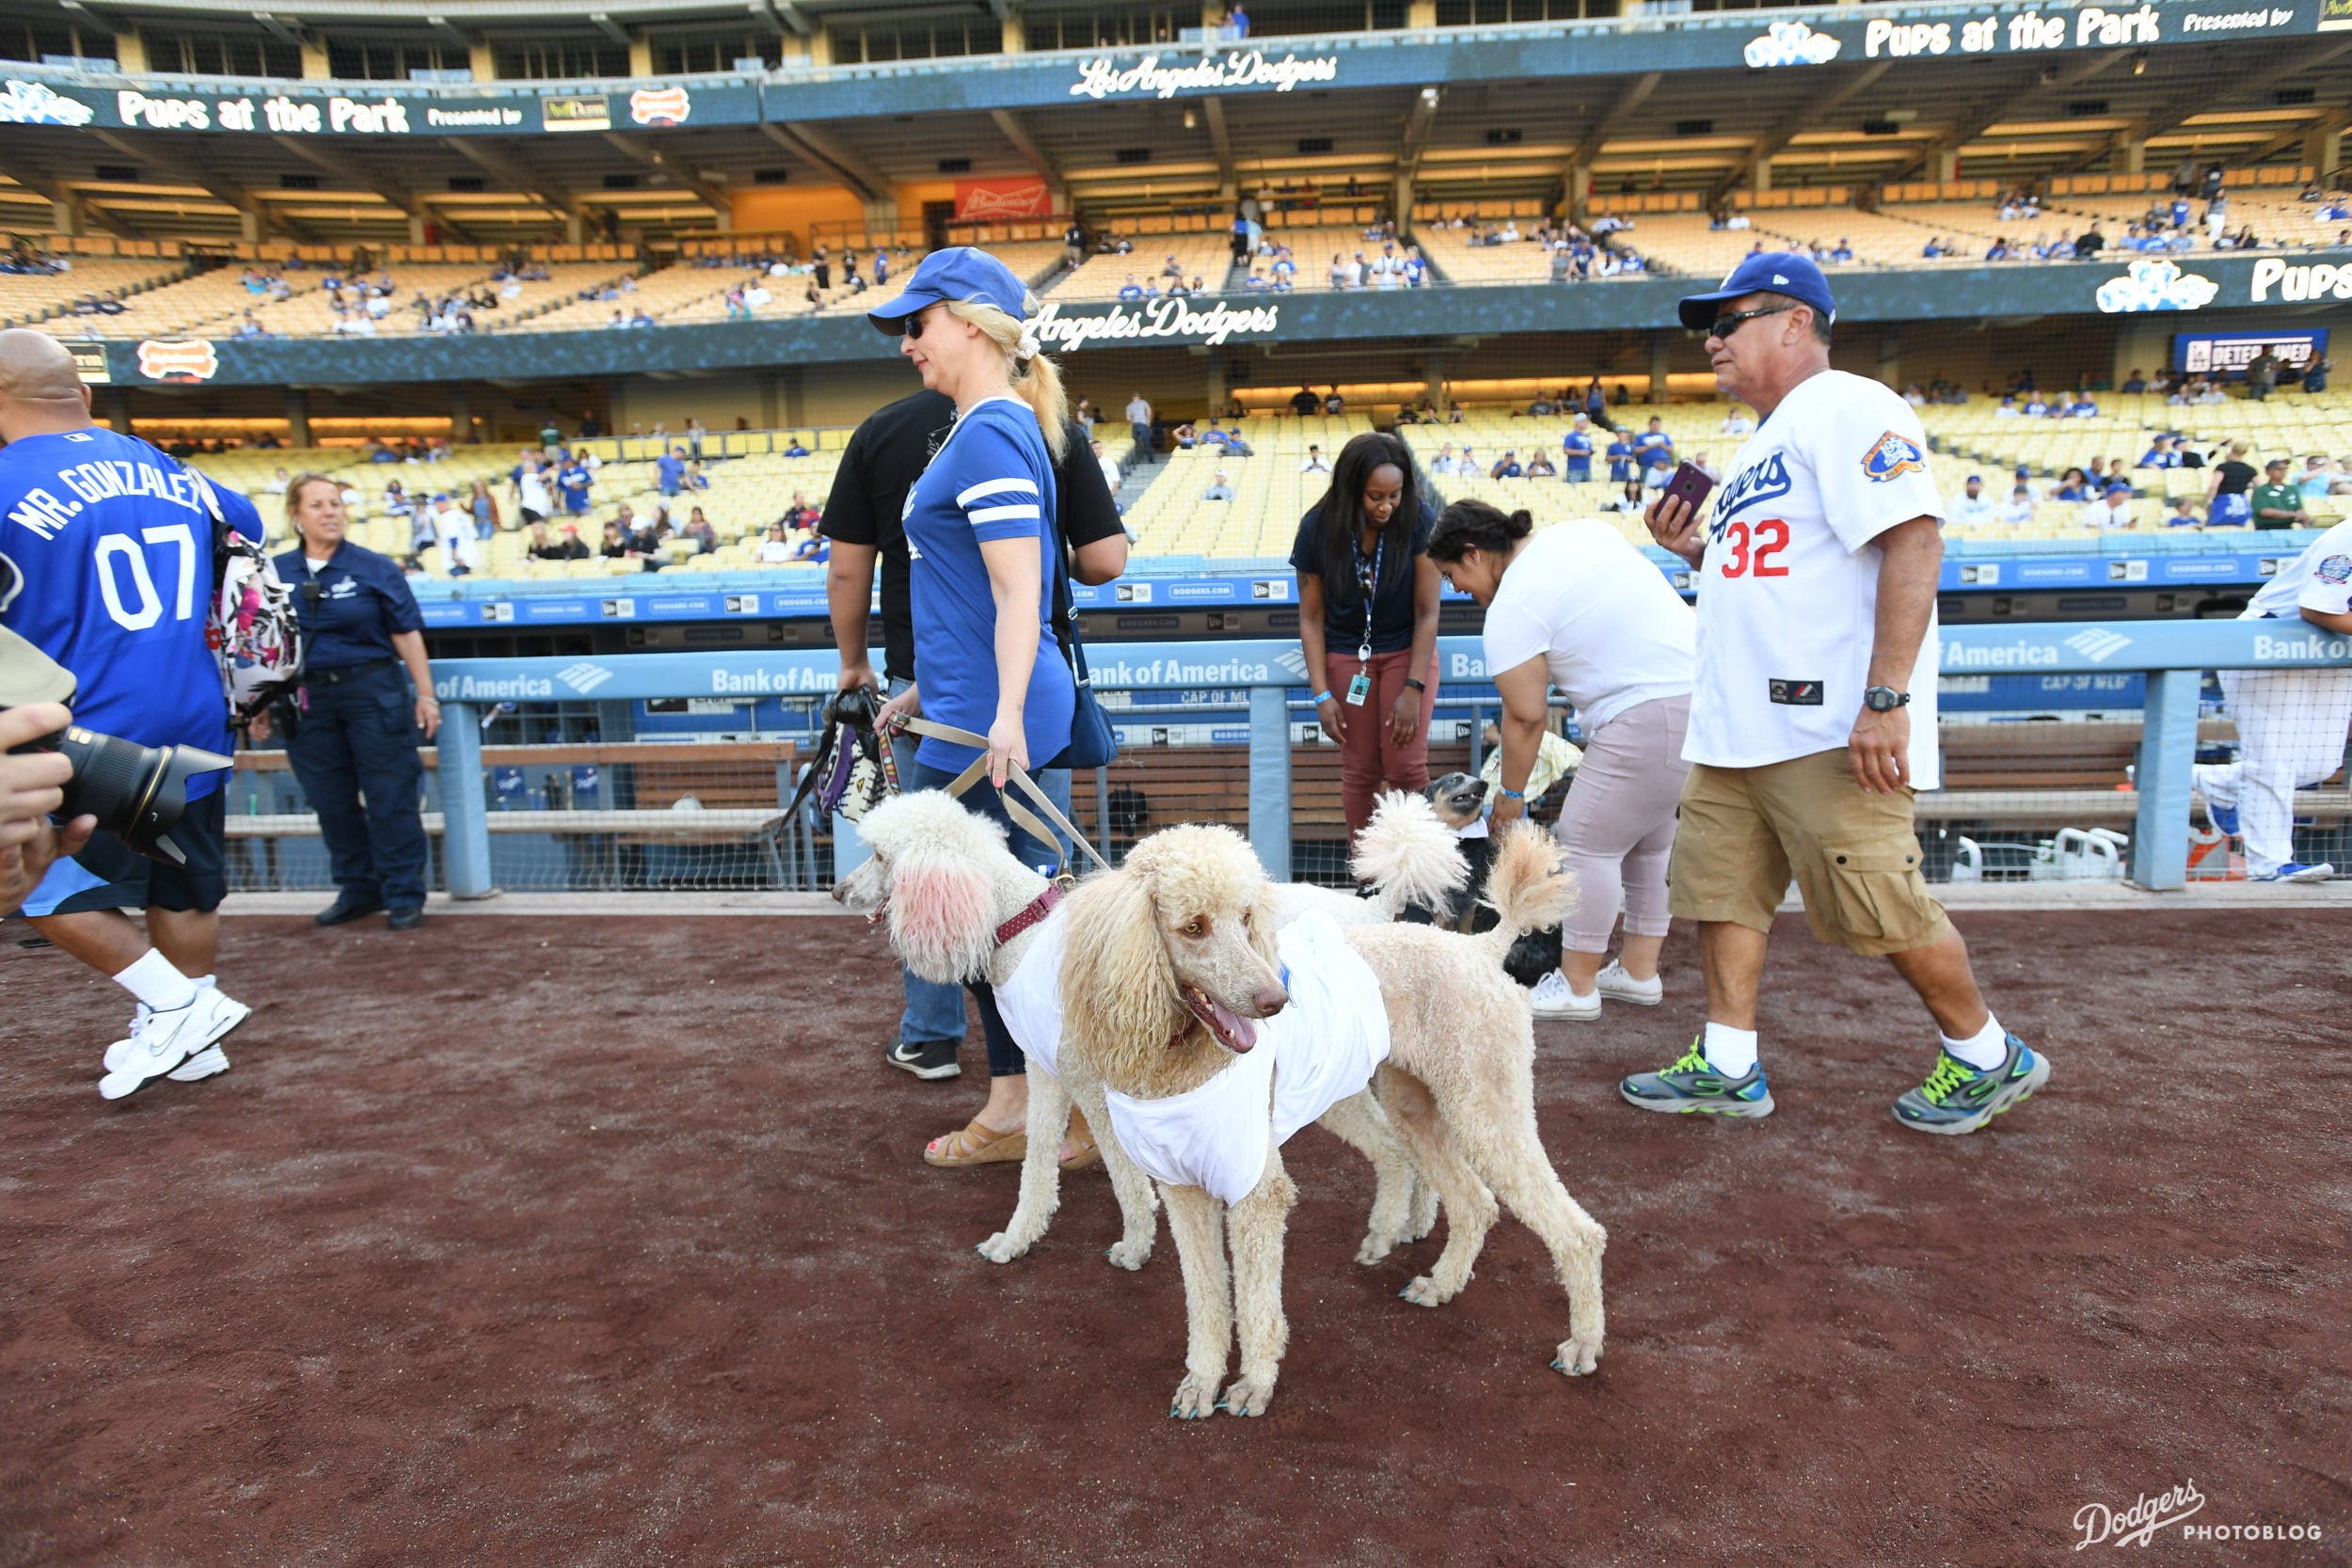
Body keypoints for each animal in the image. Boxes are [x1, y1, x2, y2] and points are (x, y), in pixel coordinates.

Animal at [1058, 822, 1609, 1419]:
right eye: (1193, 927)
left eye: (1246, 917)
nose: (1276, 1000)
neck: (1182, 1062)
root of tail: (1481, 948)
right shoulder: (1184, 1190)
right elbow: (1206, 1298)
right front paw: (1201, 1382)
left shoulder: (1257, 1191)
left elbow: (1255, 1302)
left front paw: (1253, 1385)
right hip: (1413, 1104)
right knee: (1475, 1202)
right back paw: (1441, 1284)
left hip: (1485, 1106)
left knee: (1579, 1234)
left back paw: (1582, 1344)